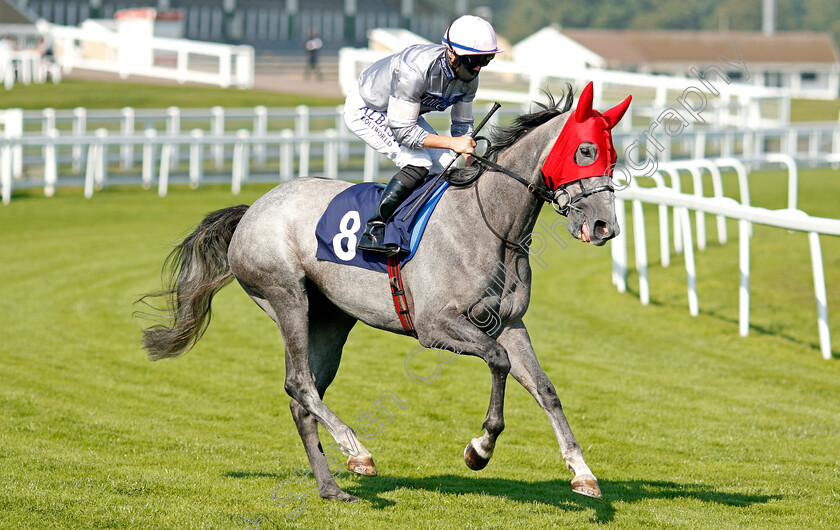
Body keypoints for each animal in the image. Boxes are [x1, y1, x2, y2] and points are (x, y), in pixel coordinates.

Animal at [141, 82, 632, 500]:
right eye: (585, 150)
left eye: (613, 156)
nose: (604, 226)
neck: (490, 223)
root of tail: (253, 209)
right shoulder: (436, 326)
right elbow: (497, 360)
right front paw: (480, 449)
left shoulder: (509, 322)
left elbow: (545, 388)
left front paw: (582, 473)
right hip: (286, 297)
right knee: (299, 383)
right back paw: (356, 450)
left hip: (331, 321)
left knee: (304, 398)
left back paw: (332, 486)